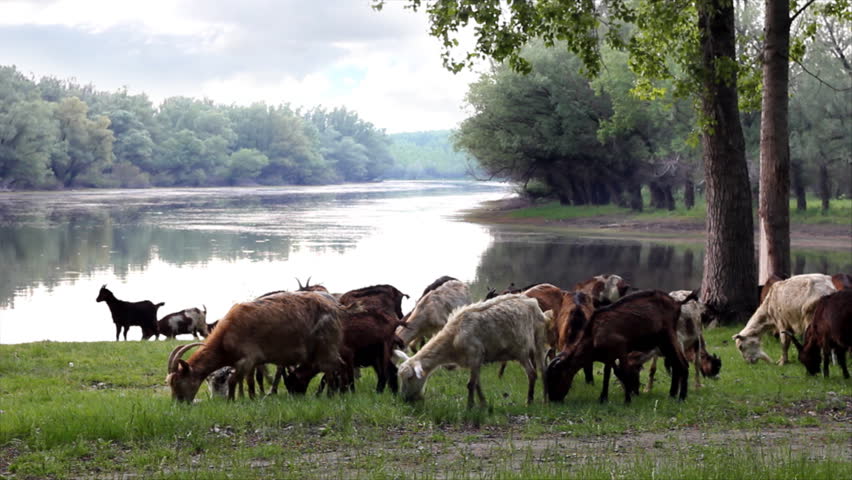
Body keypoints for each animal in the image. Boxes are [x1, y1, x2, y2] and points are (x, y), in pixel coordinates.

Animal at [165, 291, 347, 402]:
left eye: (178, 381)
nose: (178, 403)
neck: (226, 336)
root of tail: (335, 308)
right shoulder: (252, 362)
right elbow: (249, 380)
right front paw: (251, 398)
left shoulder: (247, 358)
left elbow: (233, 380)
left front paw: (231, 401)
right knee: (336, 366)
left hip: (326, 346)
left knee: (332, 367)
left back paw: (332, 395)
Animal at [394, 294, 550, 408]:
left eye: (410, 378)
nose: (404, 399)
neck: (453, 338)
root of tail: (532, 302)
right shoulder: (475, 361)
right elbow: (477, 384)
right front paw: (483, 404)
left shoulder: (475, 355)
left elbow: (470, 385)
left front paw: (469, 406)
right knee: (541, 371)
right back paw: (544, 399)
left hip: (532, 344)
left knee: (534, 373)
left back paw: (531, 401)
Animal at [545, 290, 691, 404]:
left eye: (556, 377)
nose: (554, 399)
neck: (593, 334)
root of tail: (677, 303)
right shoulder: (608, 356)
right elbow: (607, 374)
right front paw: (603, 398)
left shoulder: (621, 349)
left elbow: (624, 372)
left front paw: (627, 400)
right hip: (662, 342)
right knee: (677, 363)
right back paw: (672, 396)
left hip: (668, 336)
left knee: (683, 363)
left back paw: (681, 398)